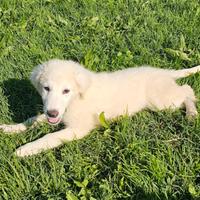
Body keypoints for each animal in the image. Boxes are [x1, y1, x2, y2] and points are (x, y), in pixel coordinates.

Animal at [0, 59, 200, 156]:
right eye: (46, 88)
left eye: (66, 90)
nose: (52, 112)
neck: (76, 99)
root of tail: (163, 72)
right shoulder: (55, 113)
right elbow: (33, 119)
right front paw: (10, 128)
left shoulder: (78, 129)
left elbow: (50, 137)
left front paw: (26, 150)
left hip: (162, 102)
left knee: (187, 90)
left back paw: (192, 113)